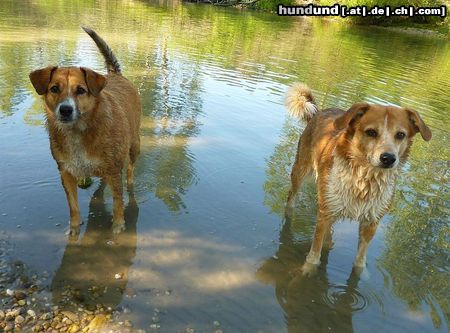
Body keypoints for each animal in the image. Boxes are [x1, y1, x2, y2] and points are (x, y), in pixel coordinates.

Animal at [29, 26, 141, 236]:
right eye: (54, 89)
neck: (79, 131)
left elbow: (118, 202)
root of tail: (115, 74)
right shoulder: (66, 172)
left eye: (80, 90)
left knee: (130, 169)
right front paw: (74, 228)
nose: (65, 109)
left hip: (134, 146)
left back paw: (130, 183)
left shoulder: (114, 171)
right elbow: (73, 206)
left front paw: (118, 226)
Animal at [284, 83, 432, 272]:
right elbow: (314, 257)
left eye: (400, 134)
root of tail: (319, 112)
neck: (364, 180)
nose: (388, 158)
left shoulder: (371, 223)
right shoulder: (325, 214)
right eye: (371, 132)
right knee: (292, 196)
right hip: (301, 172)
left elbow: (360, 261)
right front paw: (307, 272)